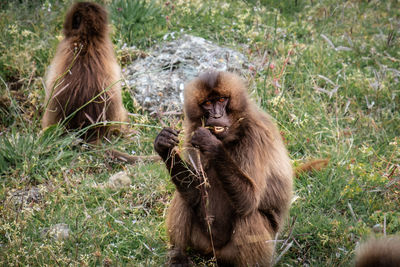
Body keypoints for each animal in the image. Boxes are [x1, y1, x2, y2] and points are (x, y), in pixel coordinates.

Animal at [155, 70, 292, 266]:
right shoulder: (191, 133)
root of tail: (215, 253)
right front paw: (164, 144)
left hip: (236, 251)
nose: (217, 117)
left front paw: (211, 144)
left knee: (249, 216)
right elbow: (193, 192)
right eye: (207, 103)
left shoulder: (255, 136)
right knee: (184, 198)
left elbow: (250, 199)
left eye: (221, 100)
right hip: (202, 241)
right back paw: (178, 257)